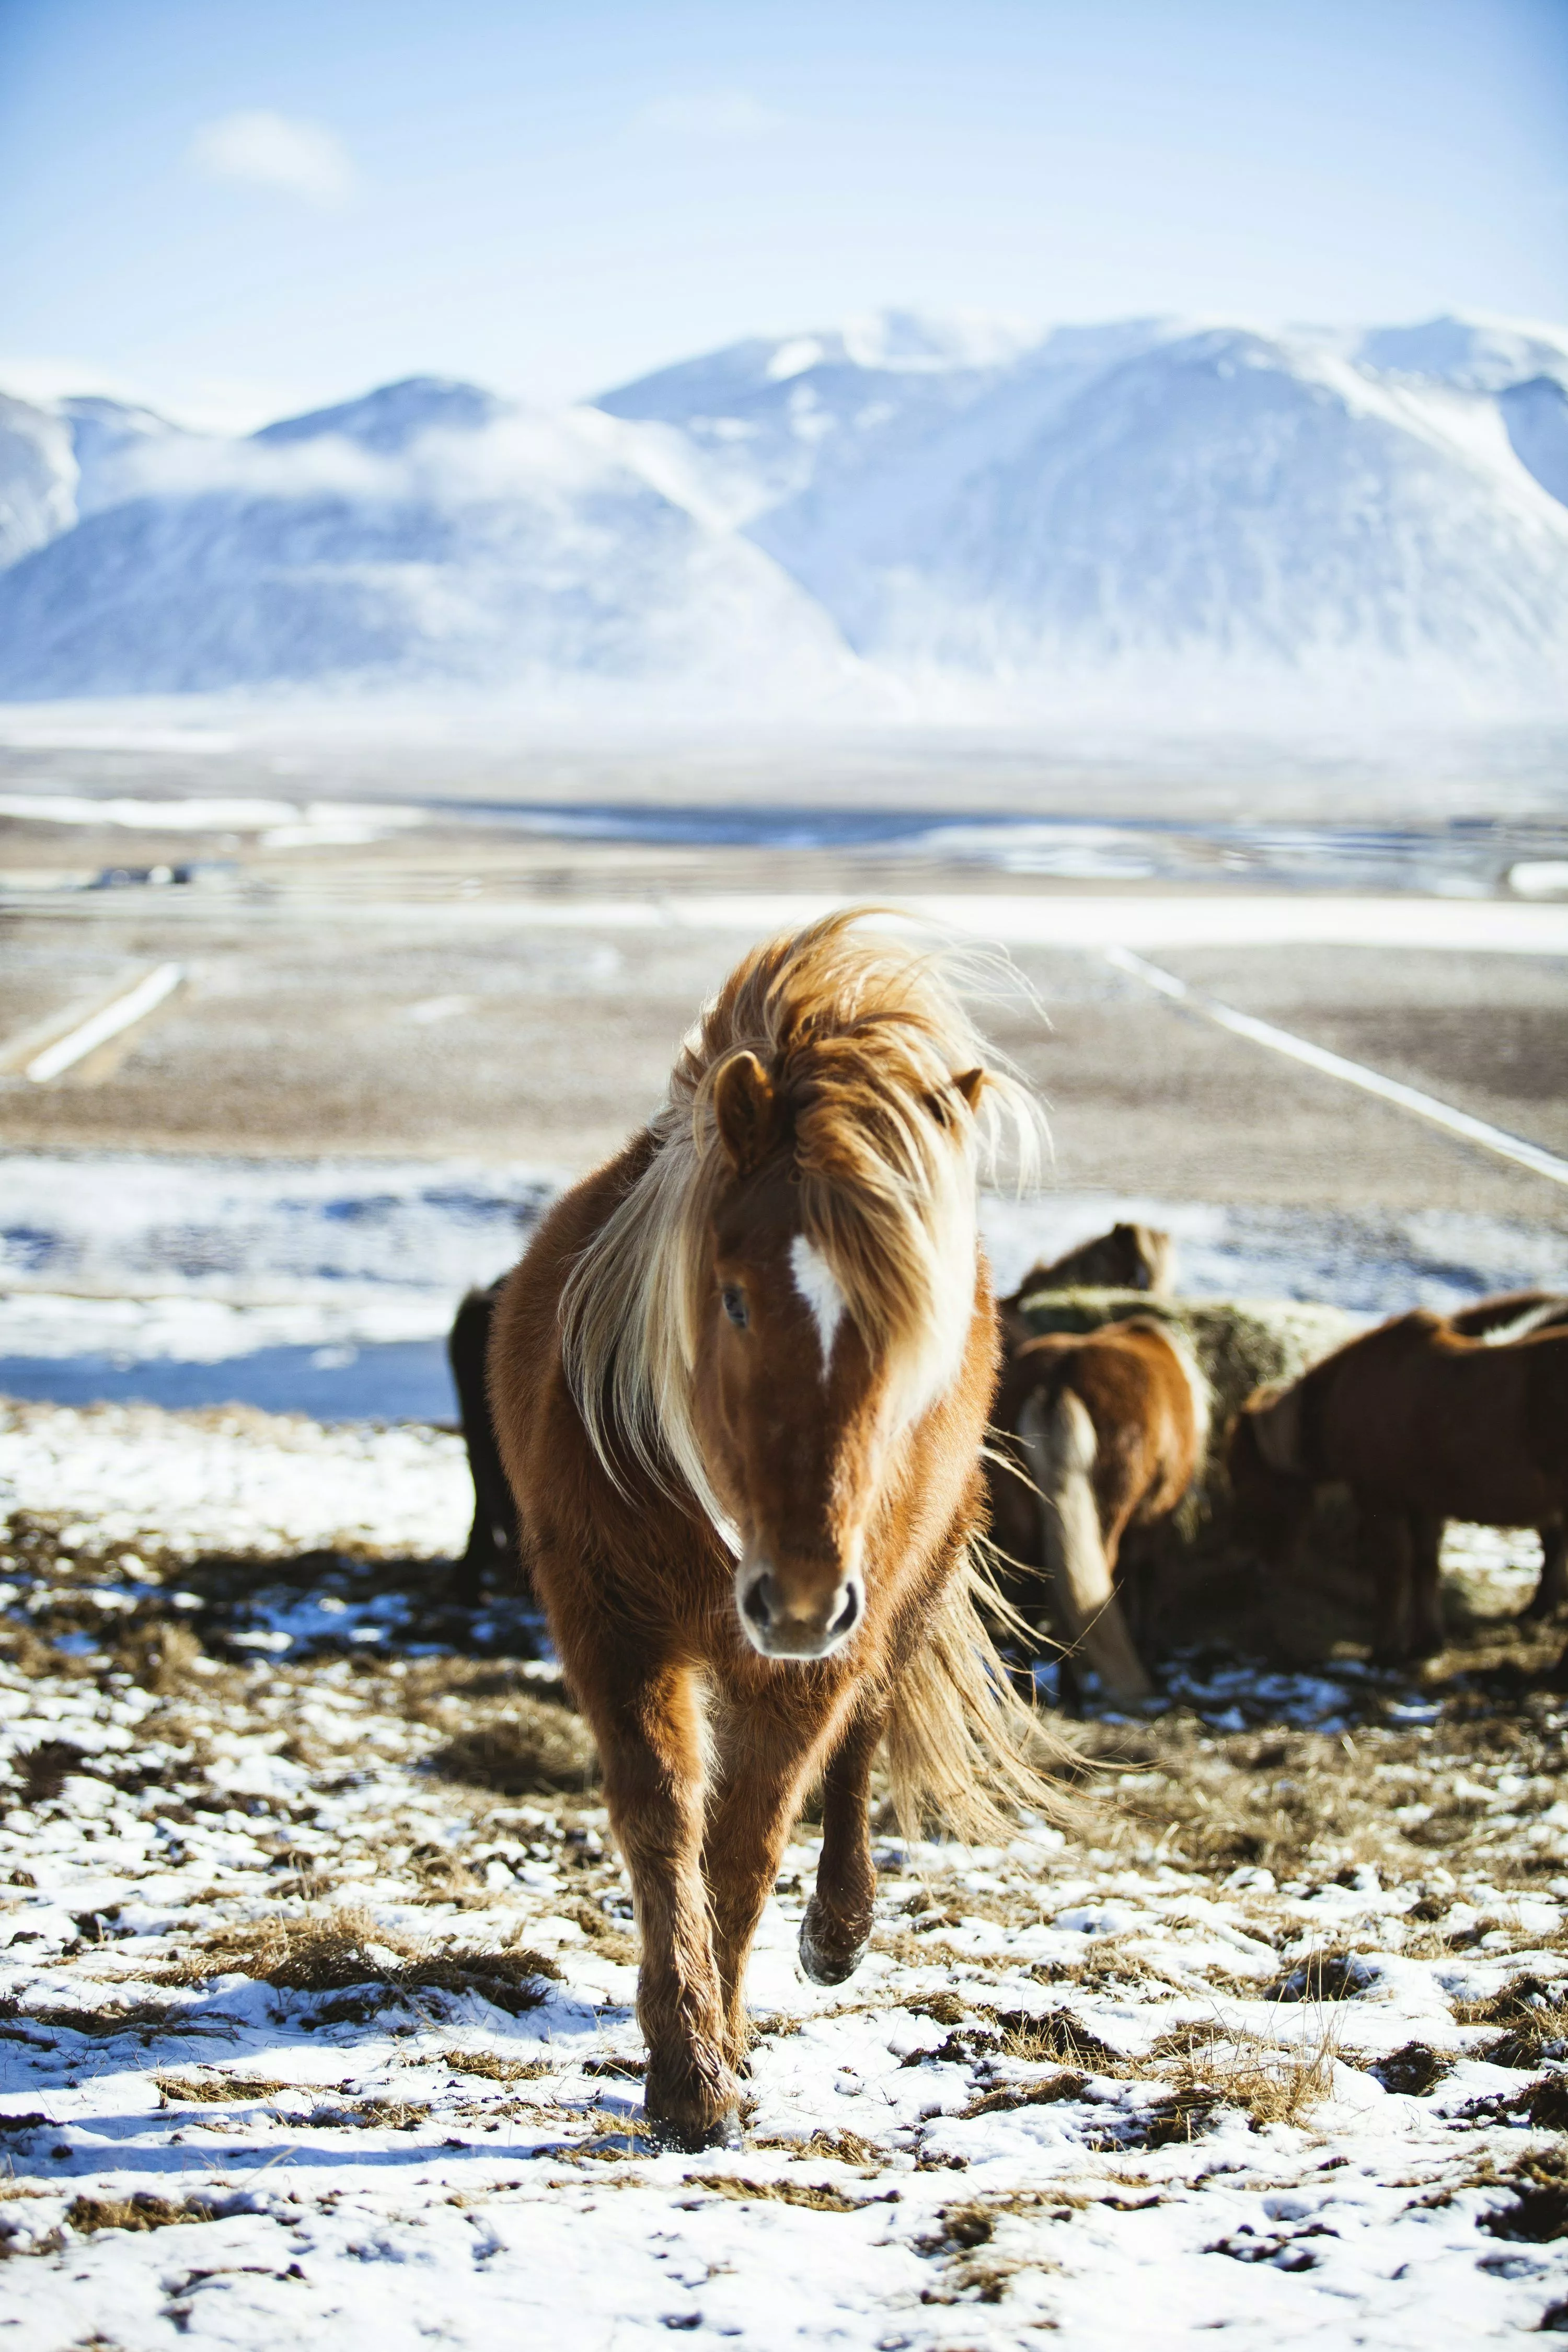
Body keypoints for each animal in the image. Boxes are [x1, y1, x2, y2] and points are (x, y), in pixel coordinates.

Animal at [489, 912, 1064, 2150]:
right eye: (735, 1296)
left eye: (909, 1327)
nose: (796, 1597)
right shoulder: (607, 1621)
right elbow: (663, 1823)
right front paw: (688, 2068)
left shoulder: (817, 1654)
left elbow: (748, 1843)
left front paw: (723, 2048)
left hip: (900, 1591)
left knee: (865, 1739)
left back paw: (838, 1934)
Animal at [989, 1317, 1208, 1704]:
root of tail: (1057, 1379)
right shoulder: (1154, 1521)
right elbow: (1144, 1579)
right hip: (1106, 1520)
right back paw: (1074, 1692)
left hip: (1022, 1525)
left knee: (1026, 1595)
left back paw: (1027, 1688)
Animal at [1227, 1300, 1568, 1662]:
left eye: (1246, 1482)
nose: (1250, 1568)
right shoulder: (1425, 1505)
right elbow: (1425, 1568)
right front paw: (1427, 1642)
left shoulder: (1380, 1498)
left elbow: (1392, 1571)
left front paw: (1384, 1650)